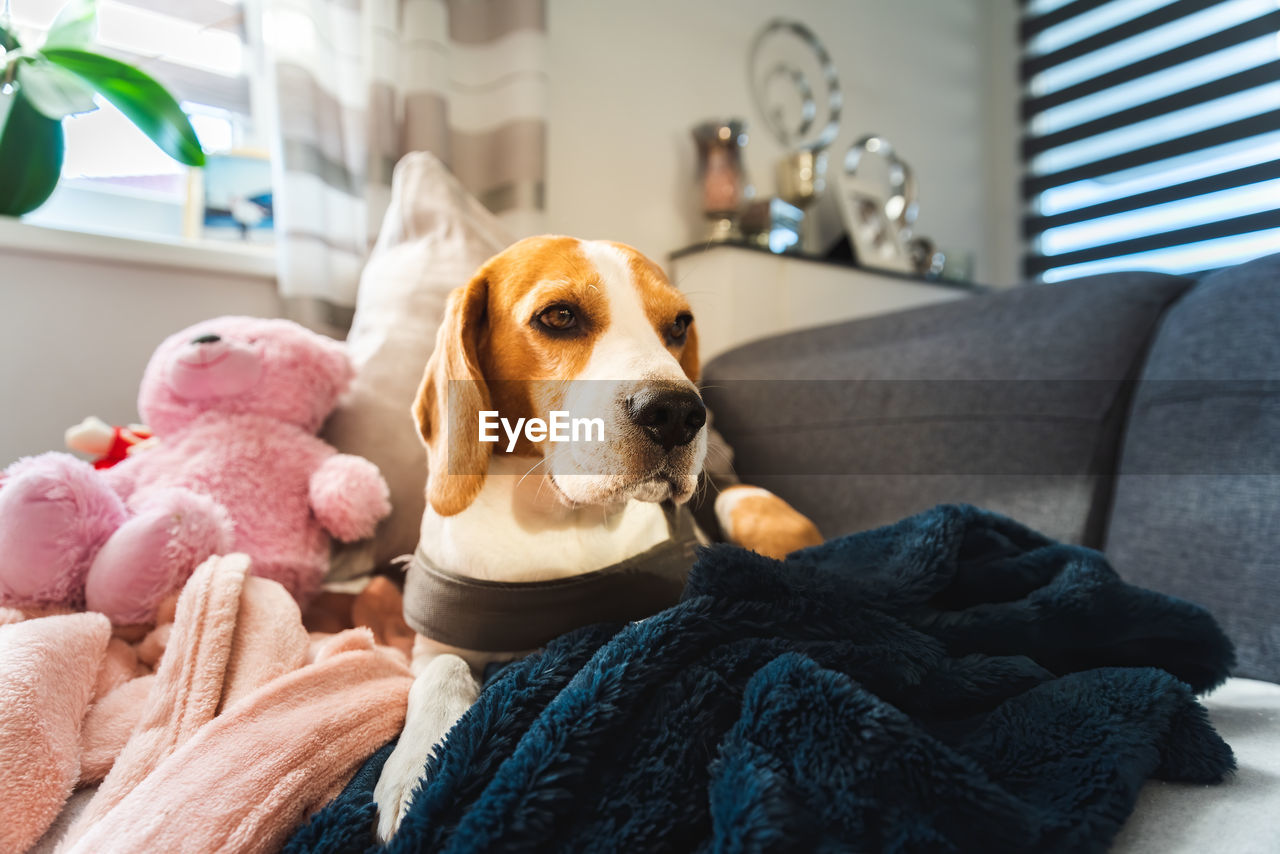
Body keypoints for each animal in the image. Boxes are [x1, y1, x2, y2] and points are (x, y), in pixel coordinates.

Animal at [373, 235, 819, 839]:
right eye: (559, 316)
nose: (679, 411)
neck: (557, 520)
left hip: (740, 502)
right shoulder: (432, 644)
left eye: (678, 325)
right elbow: (442, 673)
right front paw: (418, 763)